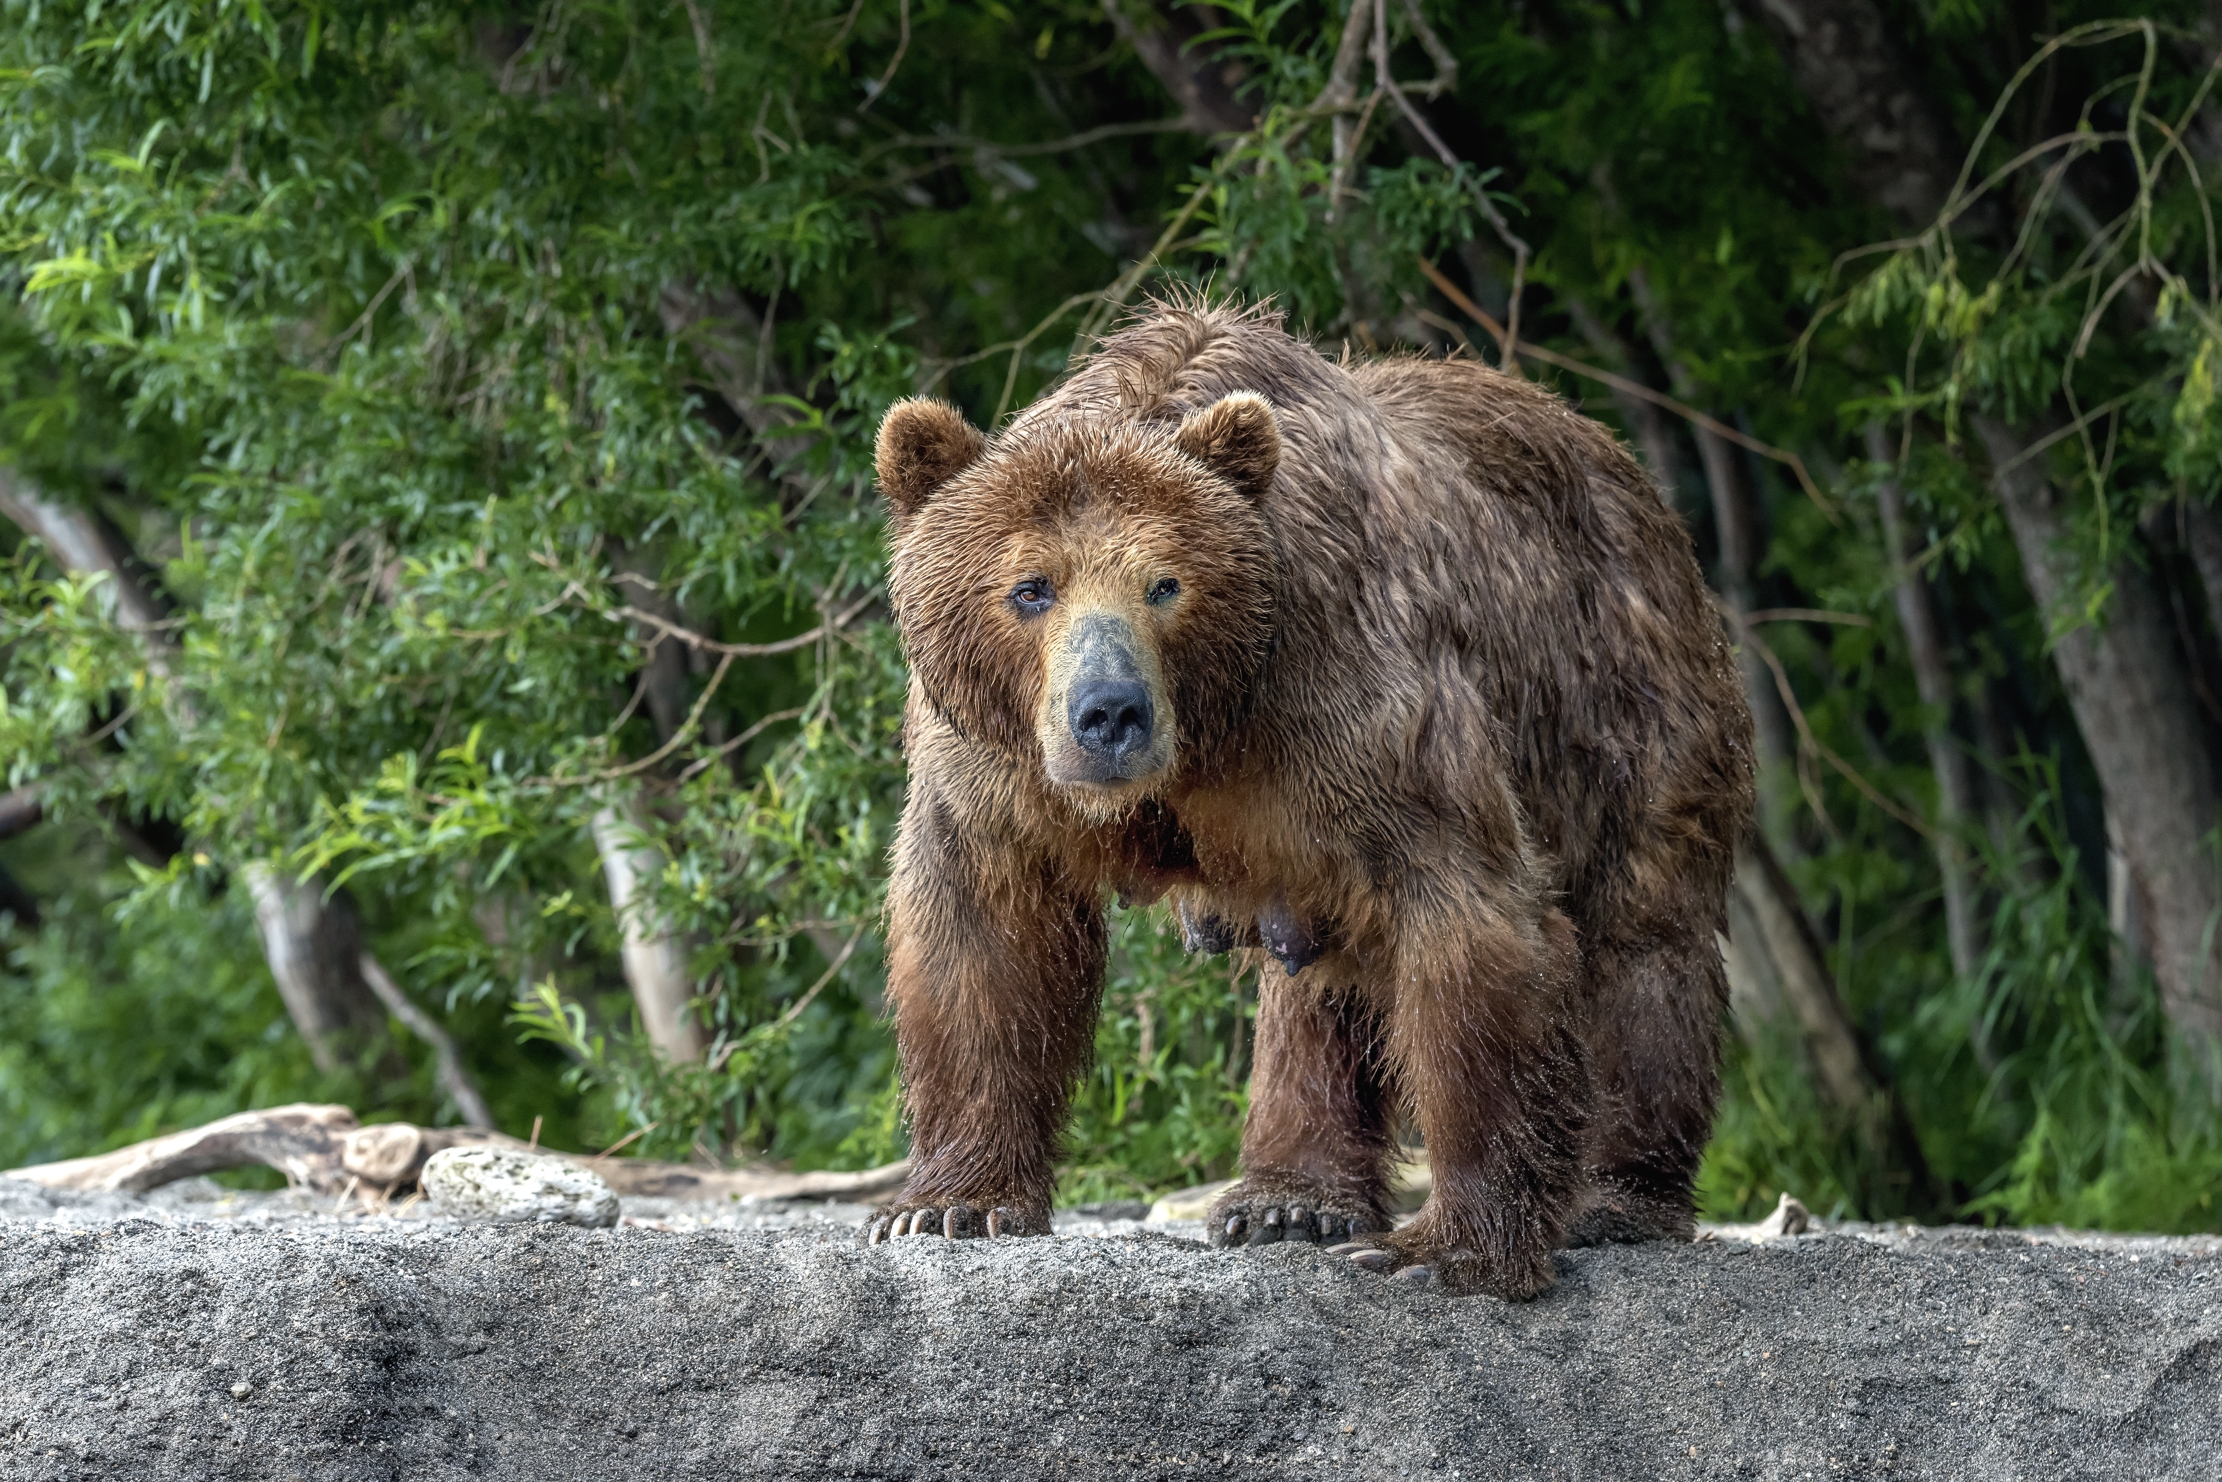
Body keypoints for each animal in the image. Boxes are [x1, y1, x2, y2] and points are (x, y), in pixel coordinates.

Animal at [863, 298, 1753, 1298]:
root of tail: (1631, 476)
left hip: (1624, 704)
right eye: (1030, 587)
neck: (1214, 729)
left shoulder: (1358, 705)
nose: (1110, 714)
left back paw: (1618, 1199)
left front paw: (1443, 1251)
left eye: (1165, 583)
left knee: (1643, 937)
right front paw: (947, 1205)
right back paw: (1290, 1200)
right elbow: (983, 940)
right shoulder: (996, 772)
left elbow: (1469, 921)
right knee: (1322, 982)